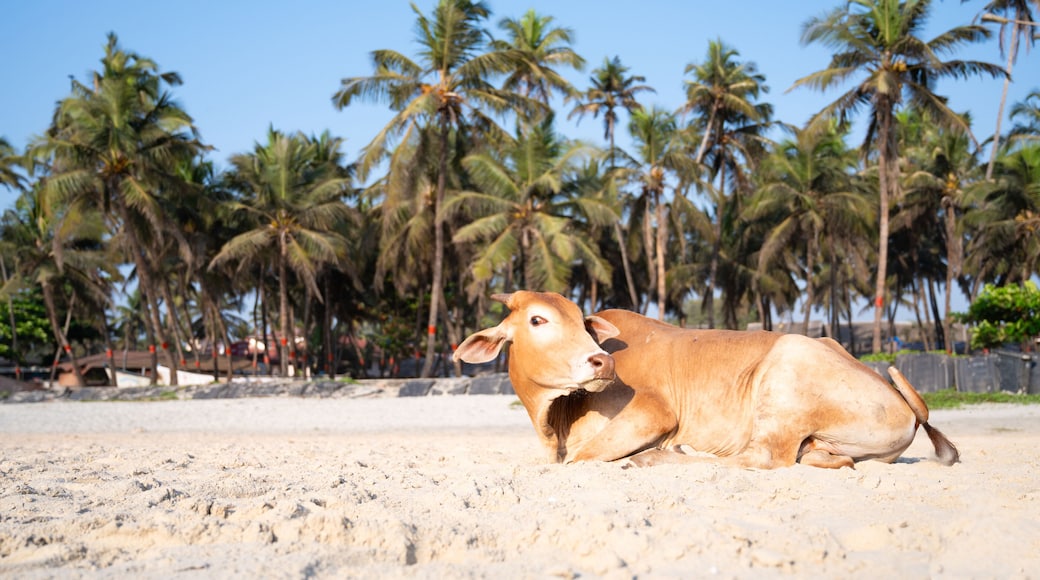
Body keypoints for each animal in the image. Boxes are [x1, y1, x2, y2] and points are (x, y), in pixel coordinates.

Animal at [453, 291, 959, 469]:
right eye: (537, 320)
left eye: (582, 320)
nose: (602, 362)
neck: (556, 418)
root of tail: (908, 407)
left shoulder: (653, 412)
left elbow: (581, 457)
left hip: (786, 372)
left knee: (762, 458)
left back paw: (670, 456)